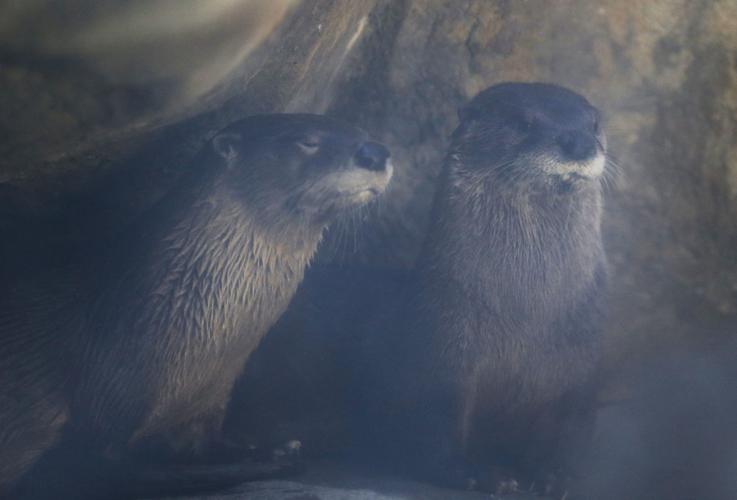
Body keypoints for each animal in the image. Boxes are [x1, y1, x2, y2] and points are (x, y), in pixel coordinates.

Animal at [2, 113, 392, 498]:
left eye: (360, 129)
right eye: (307, 140)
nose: (376, 152)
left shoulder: (206, 407)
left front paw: (267, 449)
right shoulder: (101, 404)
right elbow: (85, 470)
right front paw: (274, 459)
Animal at [359, 82, 607, 494]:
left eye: (594, 123)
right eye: (524, 122)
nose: (580, 143)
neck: (528, 315)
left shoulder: (580, 366)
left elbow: (565, 430)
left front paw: (553, 475)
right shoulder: (443, 349)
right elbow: (434, 425)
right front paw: (476, 474)